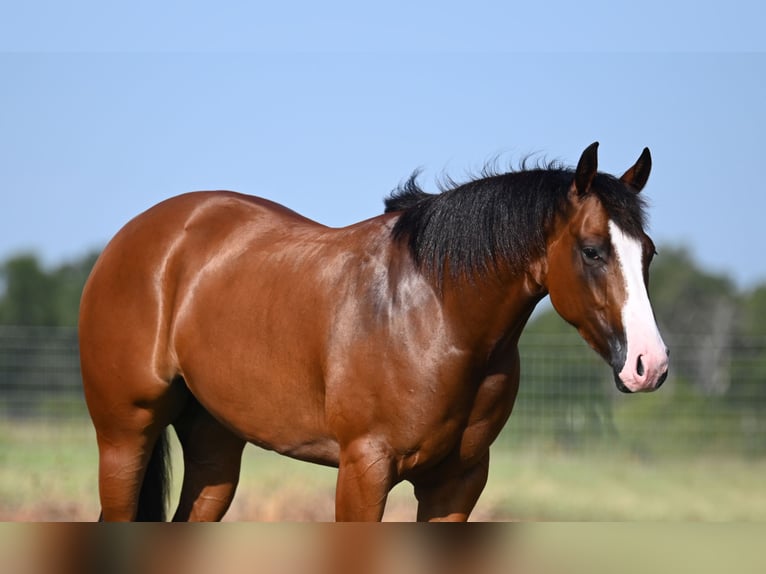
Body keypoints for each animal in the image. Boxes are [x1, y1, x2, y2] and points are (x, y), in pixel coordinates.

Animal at [76, 143, 664, 520]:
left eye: (649, 253)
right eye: (592, 250)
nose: (650, 365)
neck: (436, 315)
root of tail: (138, 237)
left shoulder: (457, 483)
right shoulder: (364, 470)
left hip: (214, 447)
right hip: (125, 437)